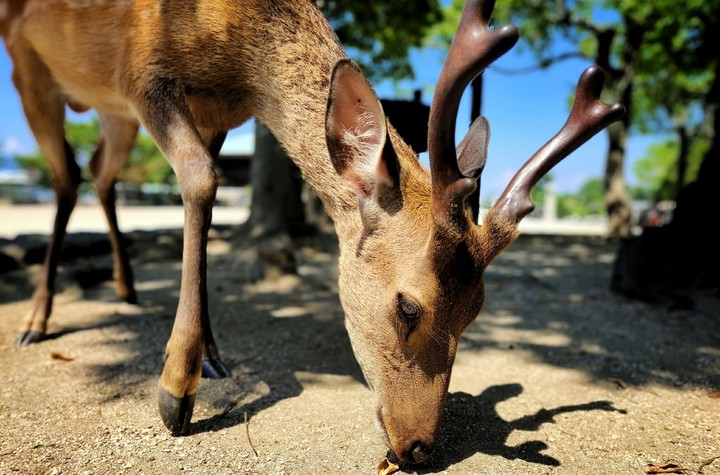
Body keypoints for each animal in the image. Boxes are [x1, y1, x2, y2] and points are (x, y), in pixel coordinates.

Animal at [1, 0, 624, 465]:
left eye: (477, 311)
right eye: (408, 306)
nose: (419, 448)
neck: (232, 57)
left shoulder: (215, 113)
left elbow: (199, 193)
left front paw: (213, 357)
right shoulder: (142, 73)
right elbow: (201, 180)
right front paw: (176, 393)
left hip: (110, 111)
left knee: (101, 172)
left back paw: (127, 289)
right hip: (30, 64)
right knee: (67, 177)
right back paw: (36, 321)